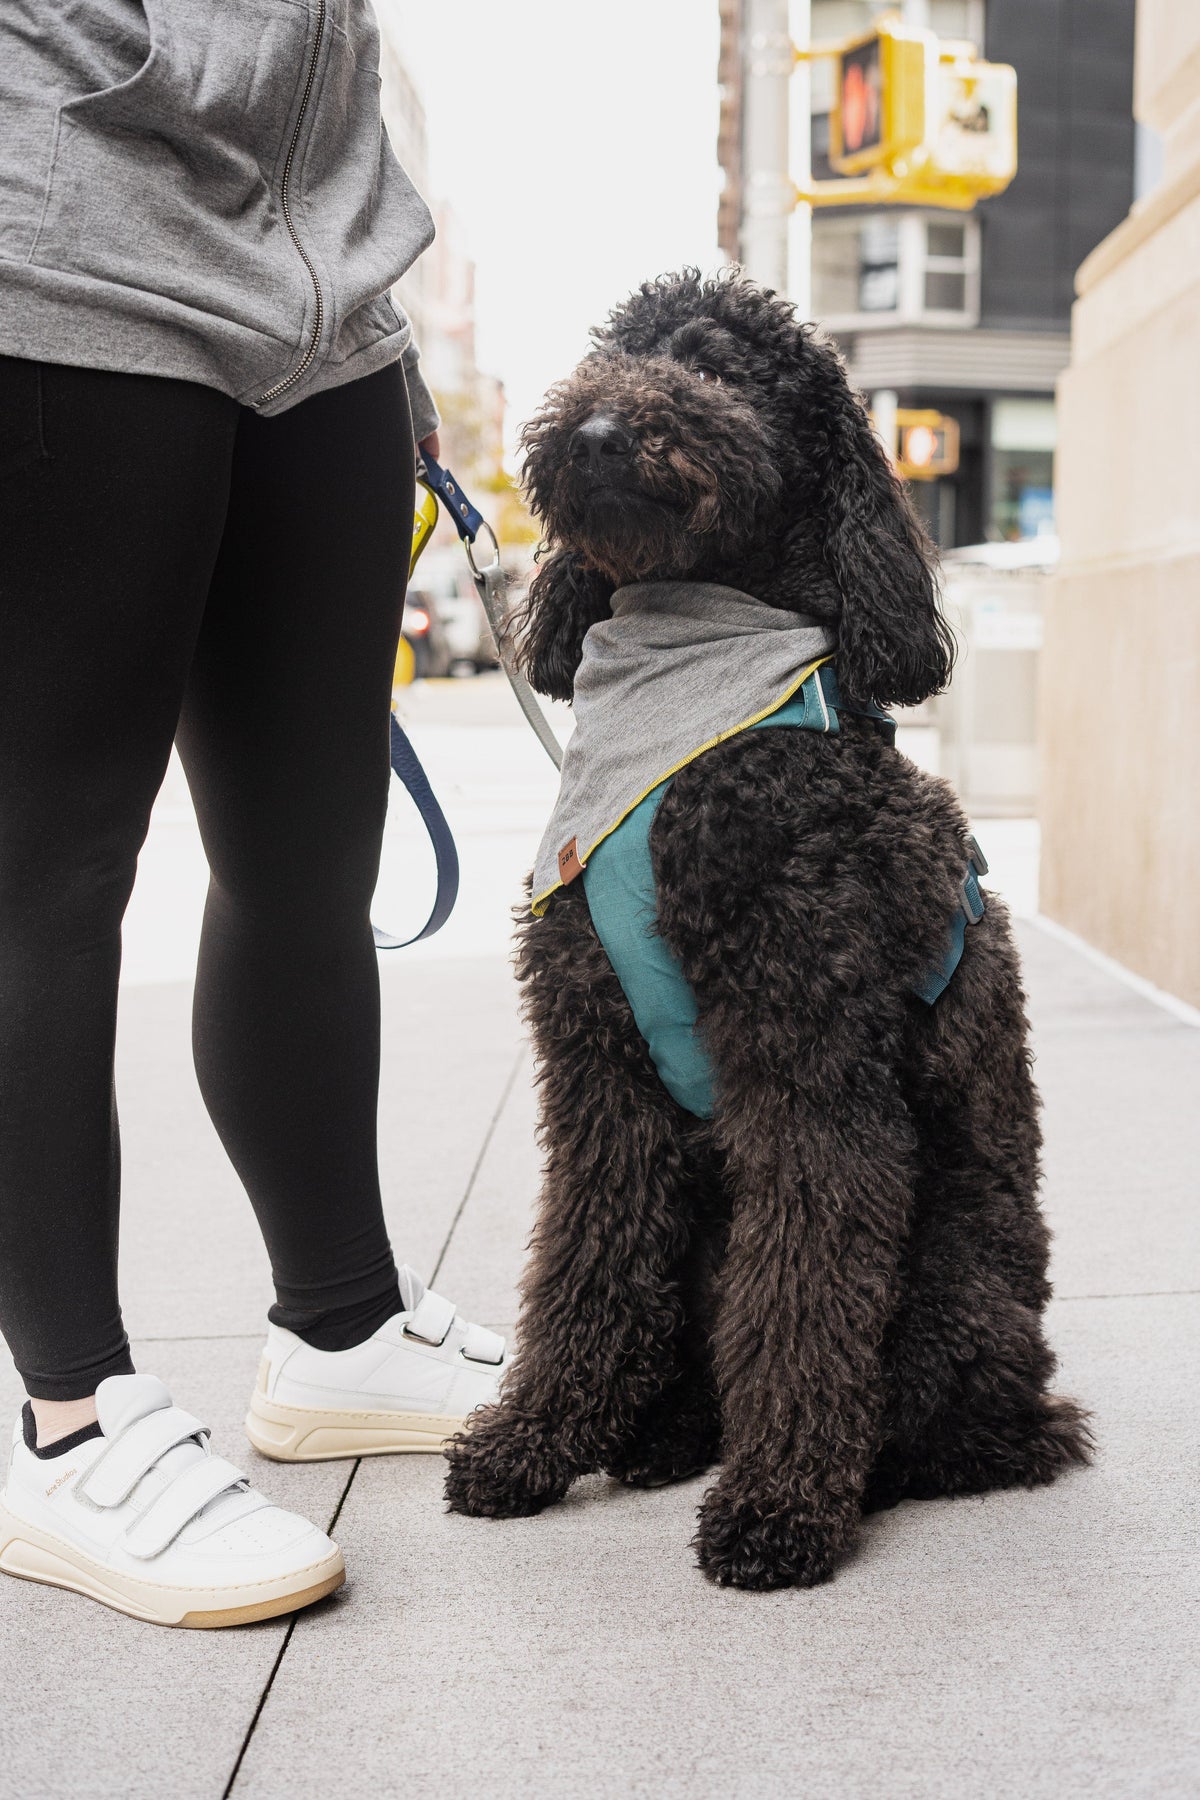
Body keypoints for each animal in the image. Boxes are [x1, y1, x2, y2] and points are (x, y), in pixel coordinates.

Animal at [446, 270, 1093, 1591]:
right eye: (614, 352)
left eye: (722, 370)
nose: (598, 432)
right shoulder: (601, 1071)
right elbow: (586, 1263)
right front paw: (533, 1442)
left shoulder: (810, 1064)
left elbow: (802, 1298)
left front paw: (778, 1507)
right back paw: (661, 1435)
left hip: (953, 1288)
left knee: (962, 1425)